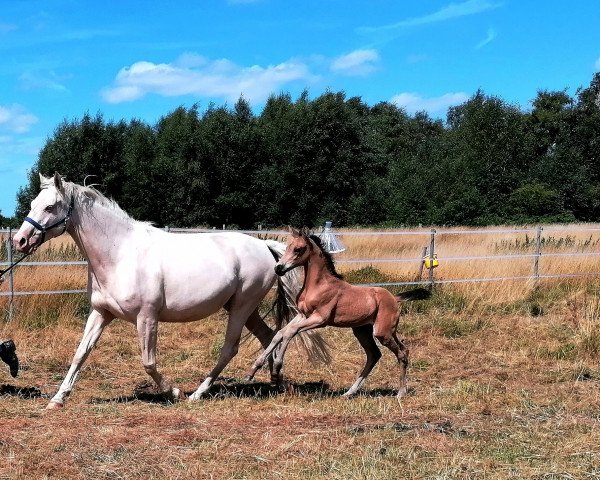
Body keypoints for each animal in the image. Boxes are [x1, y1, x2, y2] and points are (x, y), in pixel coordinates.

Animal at [12, 173, 328, 408]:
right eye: (33, 203)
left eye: (50, 207)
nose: (20, 241)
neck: (120, 254)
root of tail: (263, 245)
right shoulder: (101, 313)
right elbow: (80, 353)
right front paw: (57, 399)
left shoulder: (146, 318)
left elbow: (148, 362)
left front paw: (174, 392)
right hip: (243, 308)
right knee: (268, 336)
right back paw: (278, 382)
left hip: (241, 307)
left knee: (230, 348)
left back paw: (198, 393)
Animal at [246, 228, 428, 398]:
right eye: (287, 247)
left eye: (298, 249)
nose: (278, 268)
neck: (319, 285)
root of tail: (395, 298)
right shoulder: (303, 315)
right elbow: (280, 333)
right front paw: (253, 369)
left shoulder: (320, 319)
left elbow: (290, 332)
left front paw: (277, 368)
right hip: (365, 331)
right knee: (377, 354)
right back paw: (349, 392)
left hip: (382, 332)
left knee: (400, 353)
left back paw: (401, 392)